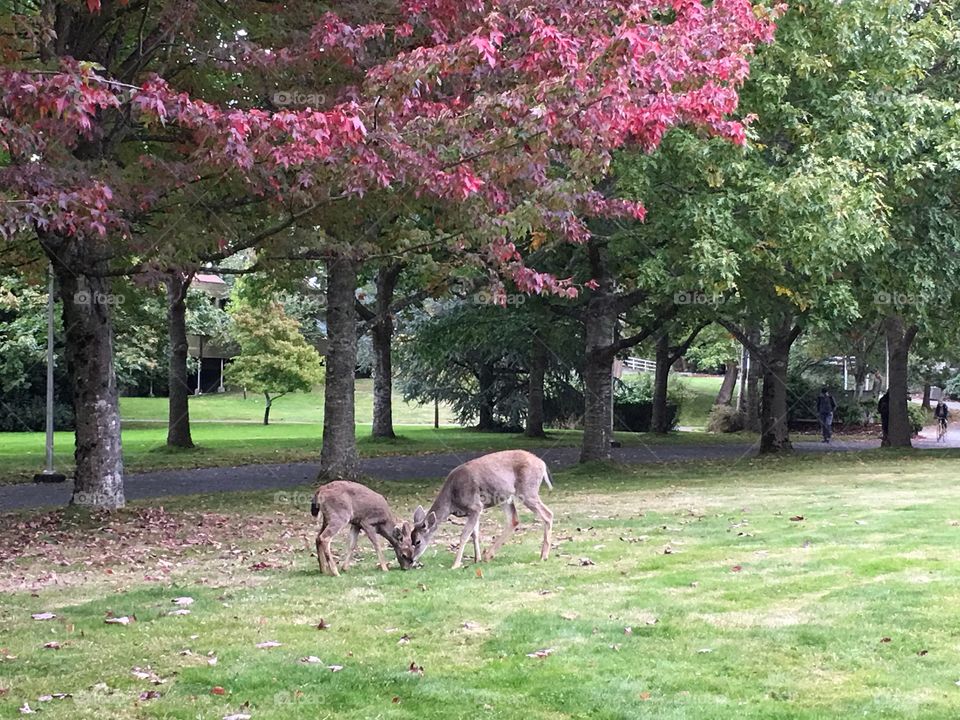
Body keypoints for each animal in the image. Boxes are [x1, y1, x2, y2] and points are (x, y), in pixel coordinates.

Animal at [406, 450, 556, 568]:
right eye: (410, 539)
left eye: (418, 541)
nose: (412, 559)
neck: (451, 500)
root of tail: (543, 464)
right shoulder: (473, 511)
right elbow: (475, 534)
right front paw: (476, 559)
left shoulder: (475, 506)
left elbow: (464, 535)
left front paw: (456, 564)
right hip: (505, 497)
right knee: (514, 520)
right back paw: (488, 555)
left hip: (527, 490)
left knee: (548, 514)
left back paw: (544, 555)